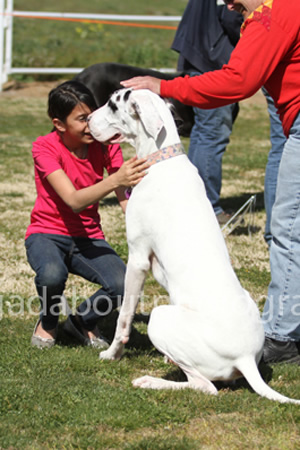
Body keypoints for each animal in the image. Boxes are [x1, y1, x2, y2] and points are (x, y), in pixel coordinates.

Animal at [88, 88, 300, 404]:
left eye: (113, 105)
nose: (87, 119)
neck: (161, 158)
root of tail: (246, 358)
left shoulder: (137, 259)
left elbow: (123, 318)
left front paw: (113, 353)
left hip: (161, 318)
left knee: (205, 386)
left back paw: (152, 381)